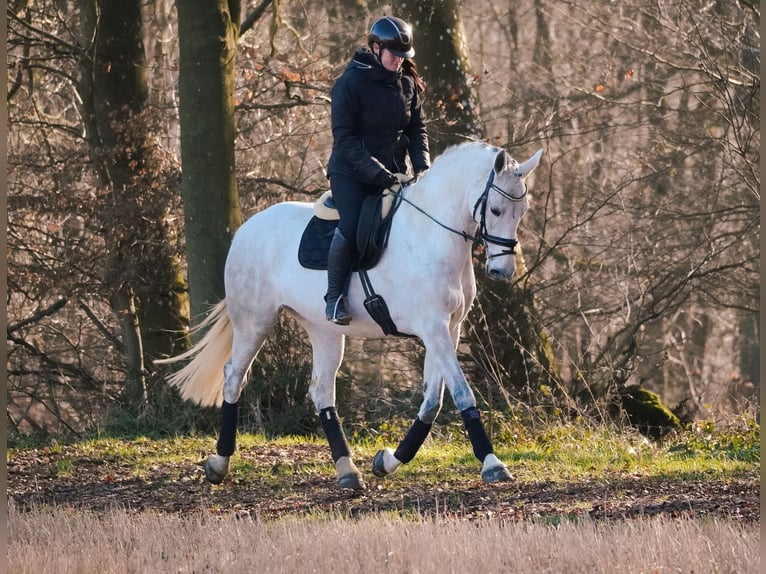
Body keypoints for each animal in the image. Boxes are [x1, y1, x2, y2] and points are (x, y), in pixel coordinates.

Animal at [160, 142, 544, 492]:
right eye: (495, 209)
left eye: (522, 211)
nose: (502, 271)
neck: (431, 235)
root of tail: (246, 229)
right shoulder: (433, 327)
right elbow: (462, 393)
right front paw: (492, 463)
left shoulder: (449, 328)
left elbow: (432, 401)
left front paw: (388, 461)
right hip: (254, 321)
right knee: (233, 377)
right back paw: (219, 463)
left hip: (324, 330)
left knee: (321, 391)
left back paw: (347, 470)